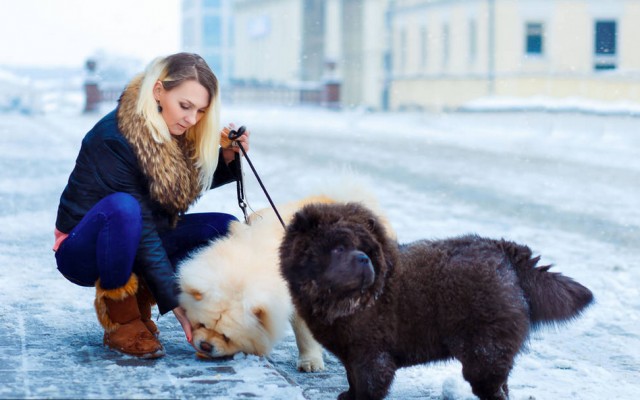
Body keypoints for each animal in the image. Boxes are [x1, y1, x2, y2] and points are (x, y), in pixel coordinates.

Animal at [280, 203, 596, 400]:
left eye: (366, 248)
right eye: (338, 247)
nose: (364, 259)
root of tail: (504, 252)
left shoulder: (371, 354)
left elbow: (368, 384)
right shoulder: (351, 351)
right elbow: (351, 378)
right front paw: (347, 395)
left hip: (484, 351)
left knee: (493, 388)